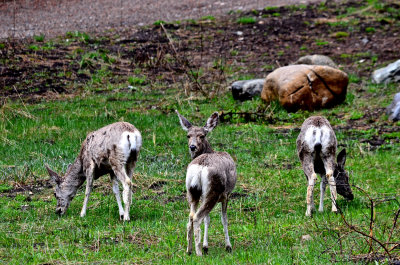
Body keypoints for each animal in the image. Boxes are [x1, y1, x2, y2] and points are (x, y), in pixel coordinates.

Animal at [176, 110, 236, 255]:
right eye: (188, 135)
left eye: (202, 135)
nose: (192, 147)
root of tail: (200, 167)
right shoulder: (226, 195)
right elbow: (224, 219)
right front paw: (228, 246)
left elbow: (207, 220)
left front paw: (206, 245)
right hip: (214, 190)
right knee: (198, 217)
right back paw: (199, 253)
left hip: (192, 192)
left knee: (190, 218)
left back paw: (189, 250)